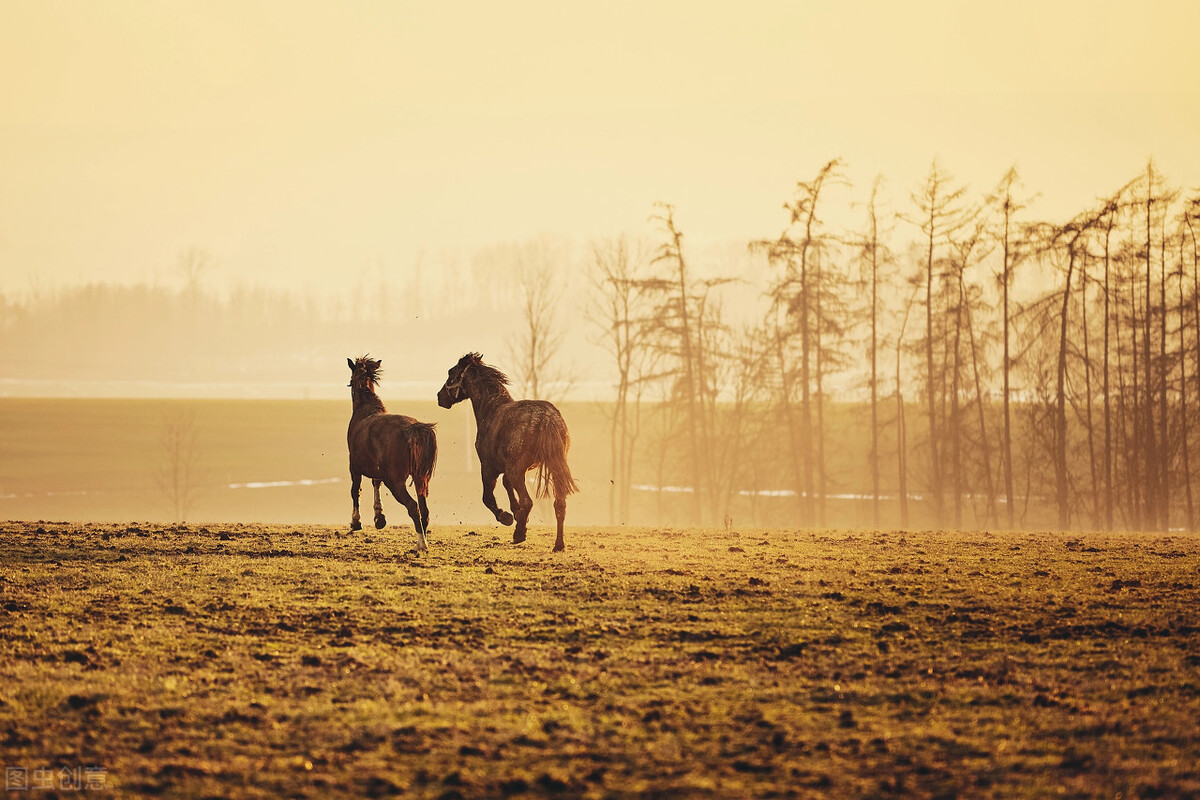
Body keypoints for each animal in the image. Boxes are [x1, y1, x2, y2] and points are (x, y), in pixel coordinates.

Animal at [345, 355, 439, 551]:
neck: (365, 410)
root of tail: (412, 429)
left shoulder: (354, 466)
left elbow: (355, 490)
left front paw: (356, 522)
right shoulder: (377, 470)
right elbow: (375, 483)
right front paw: (379, 518)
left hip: (395, 482)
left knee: (413, 506)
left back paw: (421, 544)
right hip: (420, 479)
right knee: (424, 510)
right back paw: (422, 540)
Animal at [439, 355, 578, 551]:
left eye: (451, 373)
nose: (440, 397)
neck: (491, 409)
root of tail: (546, 418)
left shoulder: (489, 467)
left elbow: (488, 497)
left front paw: (507, 517)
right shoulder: (516, 467)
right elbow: (507, 485)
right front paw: (518, 514)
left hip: (516, 469)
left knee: (528, 501)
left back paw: (519, 534)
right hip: (552, 467)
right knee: (560, 504)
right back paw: (558, 544)